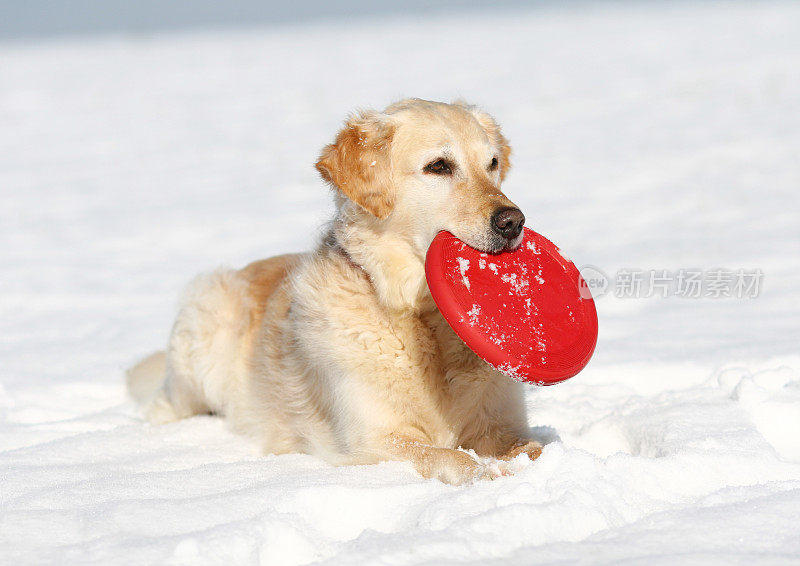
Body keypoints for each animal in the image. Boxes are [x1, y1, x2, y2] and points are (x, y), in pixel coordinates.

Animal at [128, 100, 544, 486]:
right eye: (439, 166)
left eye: (492, 163)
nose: (513, 221)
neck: (421, 319)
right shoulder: (368, 442)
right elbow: (448, 456)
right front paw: (487, 473)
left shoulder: (501, 423)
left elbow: (532, 447)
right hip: (206, 322)